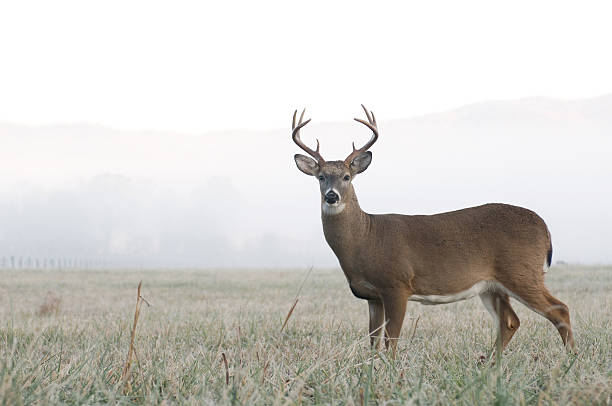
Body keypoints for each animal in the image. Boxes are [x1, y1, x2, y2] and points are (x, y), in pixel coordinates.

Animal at [290, 105, 572, 356]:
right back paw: (490, 366)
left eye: (347, 177)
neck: (365, 238)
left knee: (560, 310)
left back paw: (570, 359)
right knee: (511, 321)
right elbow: (373, 341)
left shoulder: (397, 284)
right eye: (321, 177)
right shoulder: (372, 296)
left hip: (522, 272)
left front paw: (390, 373)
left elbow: (391, 340)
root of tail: (544, 228)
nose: (332, 196)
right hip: (493, 286)